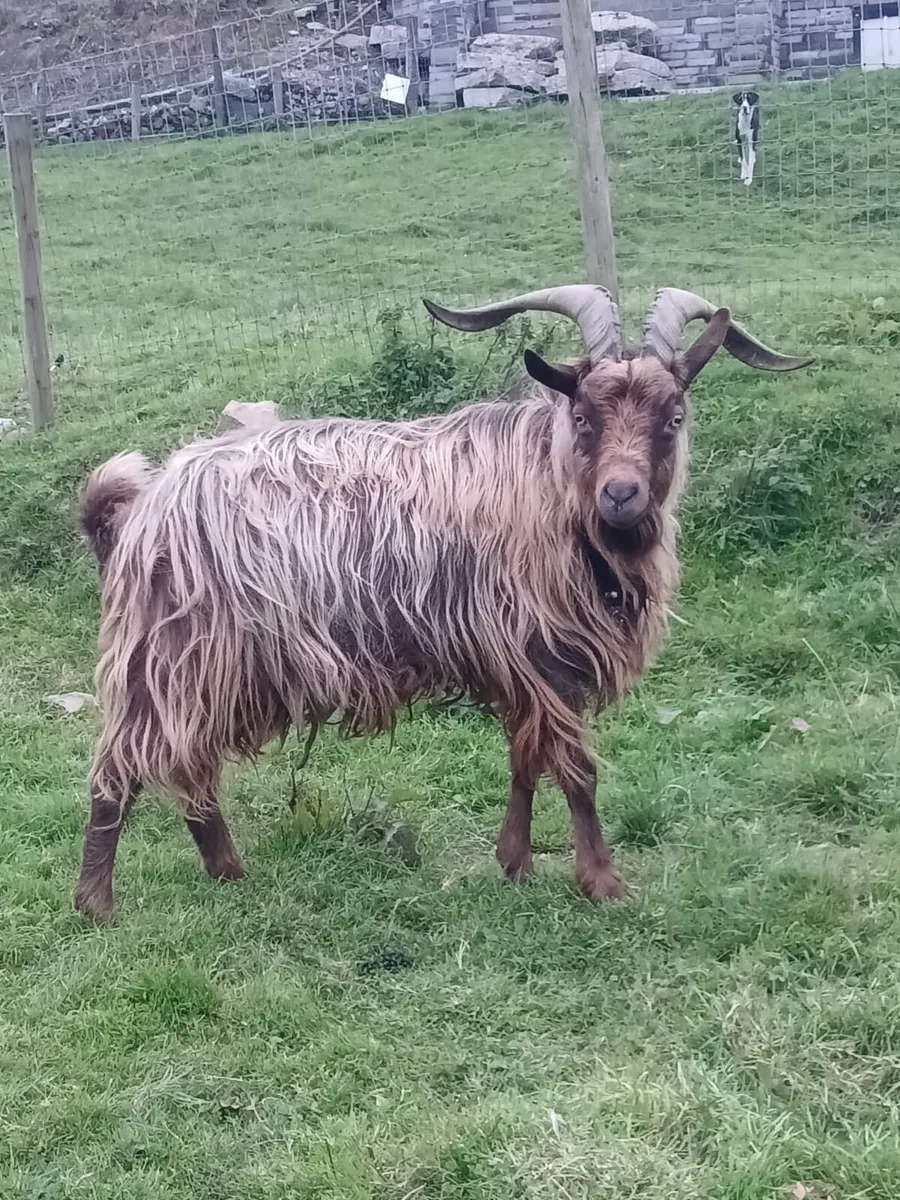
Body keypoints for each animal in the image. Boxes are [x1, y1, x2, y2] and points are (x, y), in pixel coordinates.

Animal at [74, 286, 812, 921]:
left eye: (673, 418)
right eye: (583, 416)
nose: (622, 495)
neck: (546, 483)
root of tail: (138, 509)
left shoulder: (522, 665)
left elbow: (524, 759)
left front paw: (514, 862)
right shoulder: (542, 655)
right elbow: (577, 770)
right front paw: (602, 882)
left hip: (209, 669)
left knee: (190, 771)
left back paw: (227, 873)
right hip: (169, 656)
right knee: (118, 769)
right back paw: (96, 904)